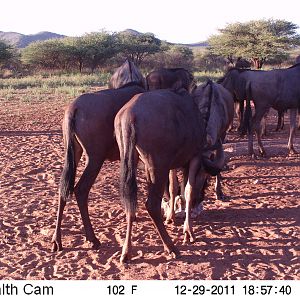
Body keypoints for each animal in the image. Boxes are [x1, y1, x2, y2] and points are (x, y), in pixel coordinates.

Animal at [51, 59, 145, 252]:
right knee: (80, 190)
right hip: (95, 159)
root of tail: (74, 109)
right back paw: (92, 238)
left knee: (63, 188)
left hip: (73, 154)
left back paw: (57, 240)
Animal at [113, 86, 224, 262]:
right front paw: (188, 232)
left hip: (132, 162)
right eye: (205, 176)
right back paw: (171, 247)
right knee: (151, 204)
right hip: (158, 167)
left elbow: (173, 188)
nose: (200, 198)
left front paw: (170, 217)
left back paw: (126, 251)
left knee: (130, 203)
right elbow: (187, 191)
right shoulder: (194, 157)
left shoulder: (169, 165)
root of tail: (130, 116)